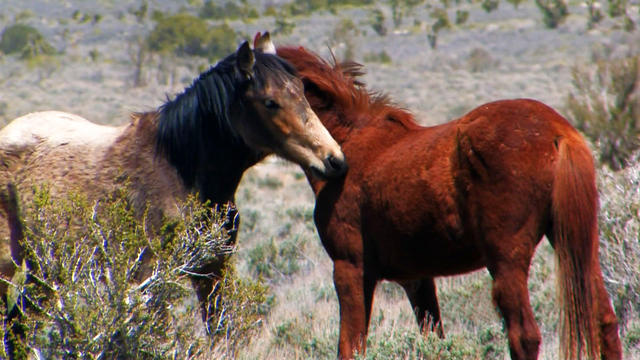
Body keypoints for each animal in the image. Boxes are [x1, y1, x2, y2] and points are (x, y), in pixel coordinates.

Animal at [278, 45, 624, 360]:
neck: (348, 143)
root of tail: (558, 131)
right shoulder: (416, 279)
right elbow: (433, 338)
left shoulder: (350, 269)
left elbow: (349, 346)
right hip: (577, 244)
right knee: (604, 321)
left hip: (507, 261)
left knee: (524, 336)